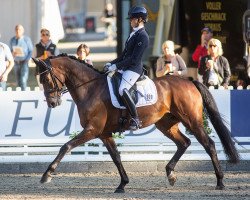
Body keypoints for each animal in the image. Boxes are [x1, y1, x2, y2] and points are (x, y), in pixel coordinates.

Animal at [32, 54, 239, 192]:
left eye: (47, 78)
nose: (52, 103)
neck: (90, 88)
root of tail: (189, 80)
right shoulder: (104, 133)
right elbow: (116, 157)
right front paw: (122, 184)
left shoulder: (92, 130)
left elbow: (65, 146)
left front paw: (47, 174)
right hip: (165, 124)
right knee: (184, 143)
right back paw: (170, 174)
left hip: (192, 120)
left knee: (208, 144)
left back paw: (220, 182)